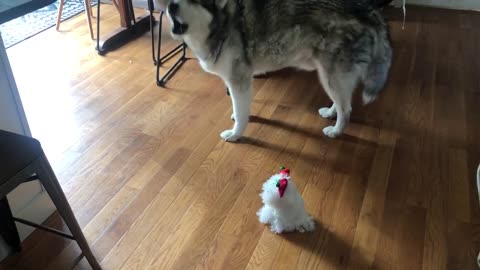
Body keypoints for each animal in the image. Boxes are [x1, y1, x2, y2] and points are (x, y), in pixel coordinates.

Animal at [159, 0, 392, 141]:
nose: (170, 5)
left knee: (347, 109)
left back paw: (336, 131)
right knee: (342, 102)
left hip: (331, 76)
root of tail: (370, 10)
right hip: (331, 76)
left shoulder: (239, 80)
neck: (221, 23)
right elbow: (240, 108)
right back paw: (330, 113)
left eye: (193, 0)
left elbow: (241, 112)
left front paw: (236, 135)